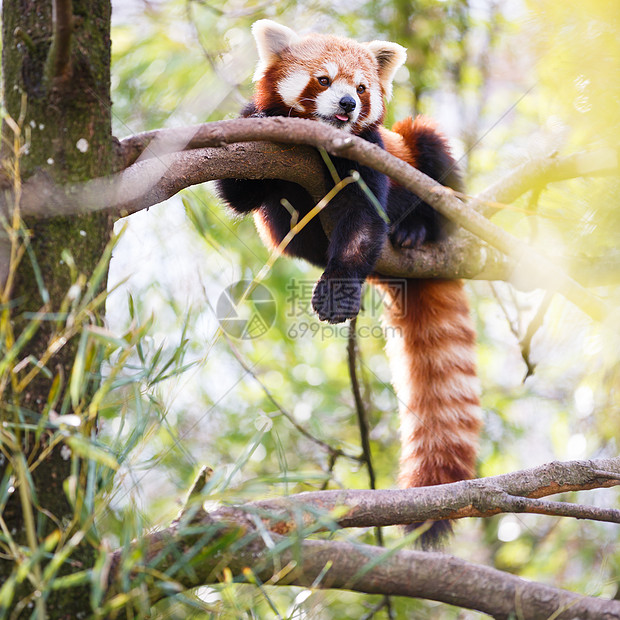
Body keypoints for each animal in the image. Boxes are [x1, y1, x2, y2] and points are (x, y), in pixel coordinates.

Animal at [216, 19, 482, 544]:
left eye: (361, 88)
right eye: (323, 80)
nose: (347, 105)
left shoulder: (371, 156)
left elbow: (362, 220)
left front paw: (337, 292)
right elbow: (239, 192)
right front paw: (255, 112)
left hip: (421, 159)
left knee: (429, 148)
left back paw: (416, 229)